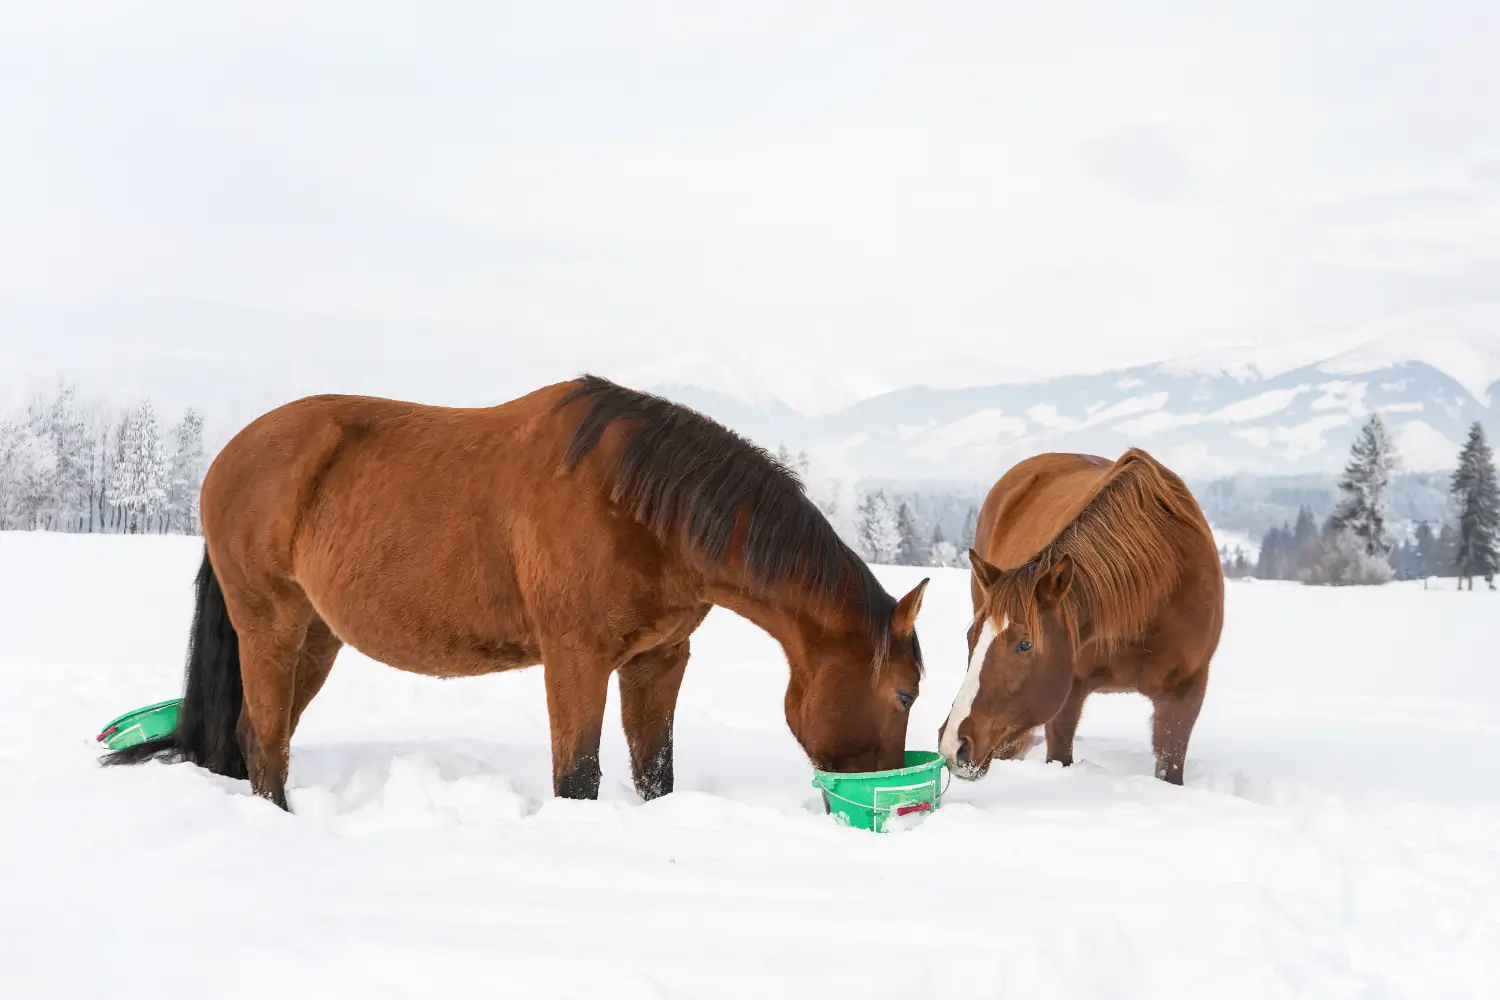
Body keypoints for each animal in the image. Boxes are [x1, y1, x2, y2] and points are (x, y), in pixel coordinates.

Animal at [105, 379, 924, 809]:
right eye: (906, 693)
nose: (882, 787)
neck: (639, 507)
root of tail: (228, 457)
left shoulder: (658, 660)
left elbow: (654, 773)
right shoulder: (576, 658)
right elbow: (578, 777)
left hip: (317, 637)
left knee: (257, 736)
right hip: (269, 628)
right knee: (266, 741)